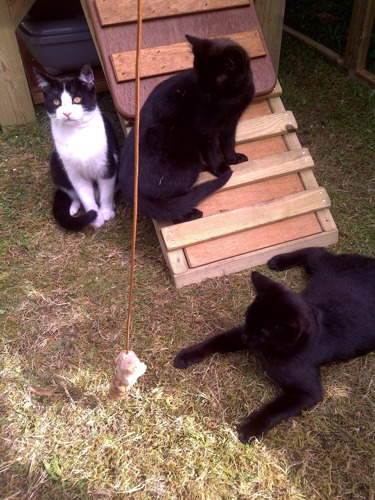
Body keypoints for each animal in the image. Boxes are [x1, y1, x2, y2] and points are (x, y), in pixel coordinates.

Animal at [35, 63, 119, 232]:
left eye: (77, 99)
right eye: (56, 102)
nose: (67, 113)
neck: (77, 134)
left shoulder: (107, 166)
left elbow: (106, 193)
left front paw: (107, 212)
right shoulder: (74, 174)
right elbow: (85, 196)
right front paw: (95, 217)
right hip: (55, 162)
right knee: (72, 193)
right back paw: (73, 208)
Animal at [119, 34, 256, 222]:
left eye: (217, 81)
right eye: (200, 80)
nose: (206, 97)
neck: (233, 98)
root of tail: (130, 189)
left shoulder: (231, 122)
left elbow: (229, 143)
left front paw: (233, 158)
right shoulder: (206, 130)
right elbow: (212, 150)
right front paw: (220, 168)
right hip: (188, 161)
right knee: (168, 208)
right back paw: (192, 212)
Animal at [174, 246, 375, 442]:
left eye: (263, 333)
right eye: (247, 318)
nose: (246, 338)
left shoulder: (307, 392)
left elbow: (277, 408)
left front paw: (251, 427)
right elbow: (218, 340)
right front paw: (186, 355)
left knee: (321, 251)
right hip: (323, 268)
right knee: (318, 251)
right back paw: (279, 261)